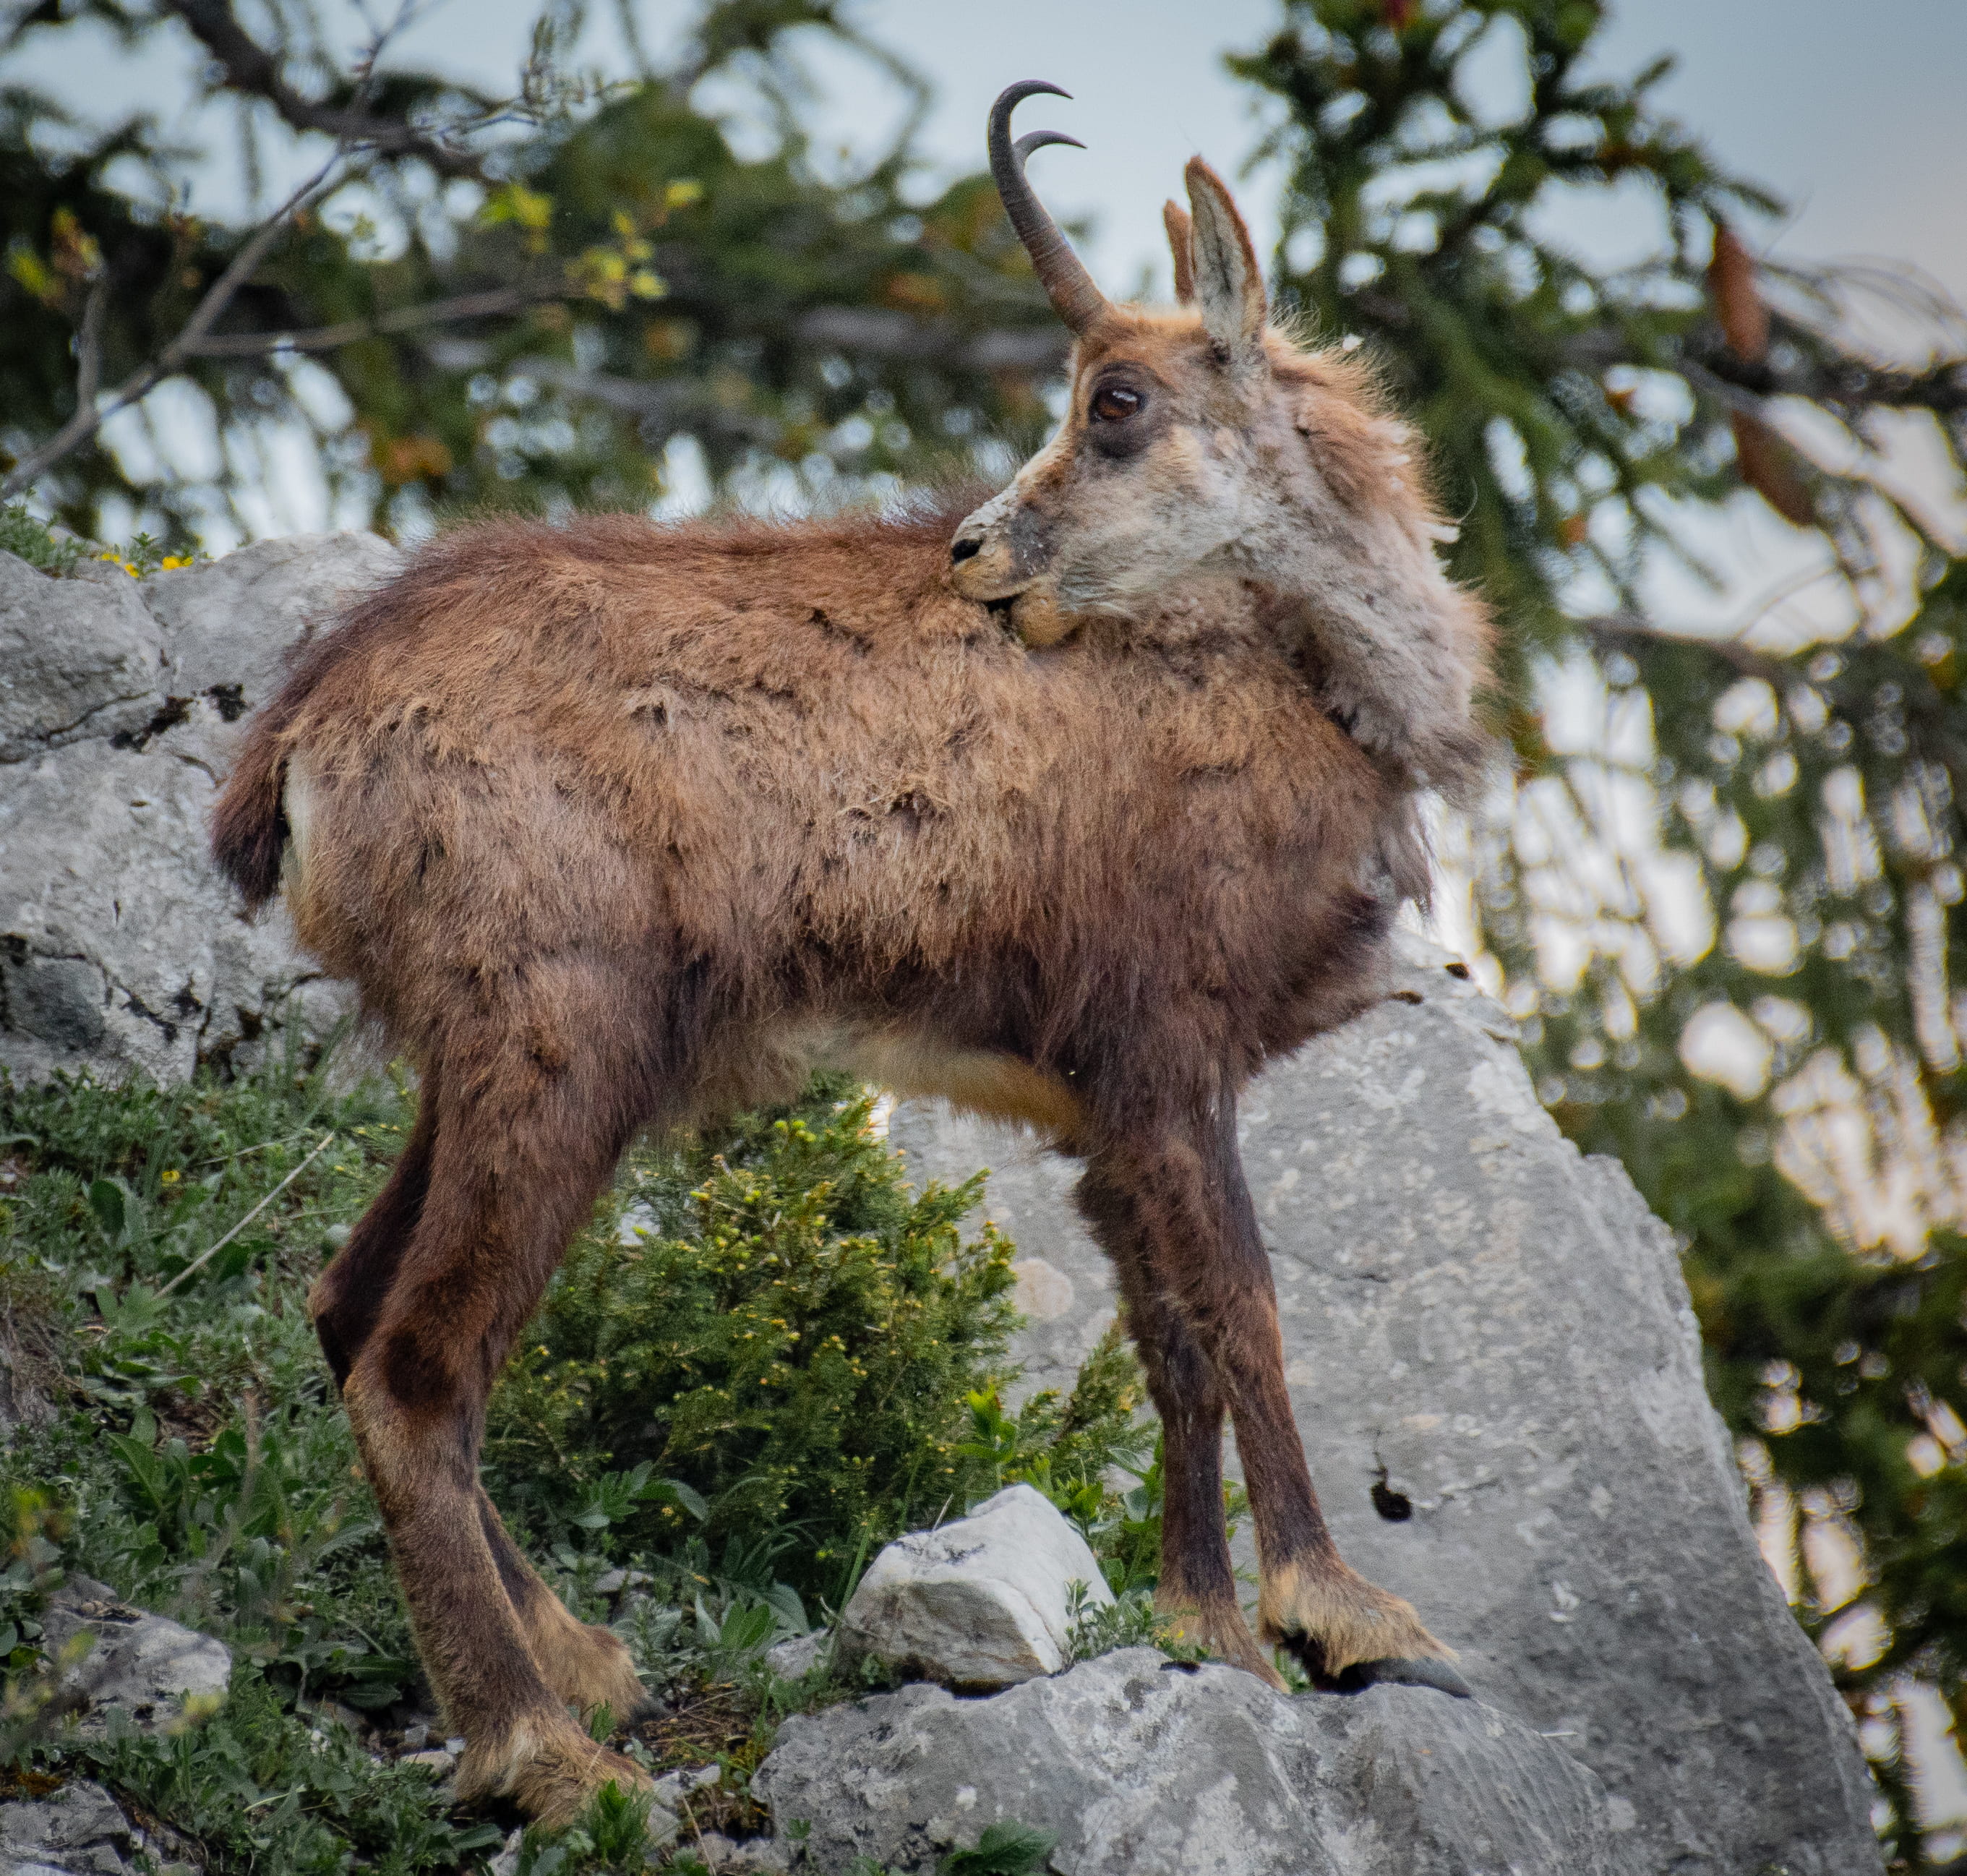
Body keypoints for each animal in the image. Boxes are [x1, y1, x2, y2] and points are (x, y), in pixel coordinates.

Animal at [211, 80, 1491, 1826]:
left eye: (1119, 401)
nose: (976, 551)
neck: (1305, 679)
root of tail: (305, 729)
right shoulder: (1167, 1039)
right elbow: (1243, 1308)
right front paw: (1348, 1614)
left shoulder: (1100, 1103)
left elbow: (1168, 1343)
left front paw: (1206, 1628)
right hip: (562, 1039)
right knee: (419, 1362)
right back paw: (544, 1752)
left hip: (475, 1053)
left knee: (347, 1301)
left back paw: (583, 1660)